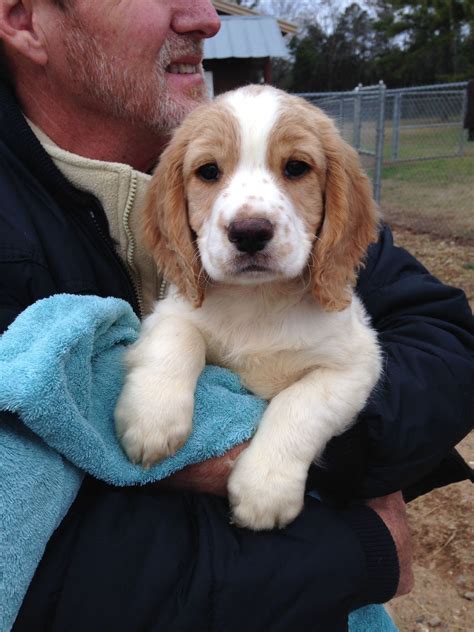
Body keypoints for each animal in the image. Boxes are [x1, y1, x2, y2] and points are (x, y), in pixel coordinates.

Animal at [115, 84, 382, 528]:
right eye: (208, 171)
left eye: (296, 168)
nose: (250, 232)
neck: (258, 300)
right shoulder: (171, 311)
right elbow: (178, 340)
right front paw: (151, 418)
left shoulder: (356, 365)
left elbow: (300, 404)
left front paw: (265, 489)